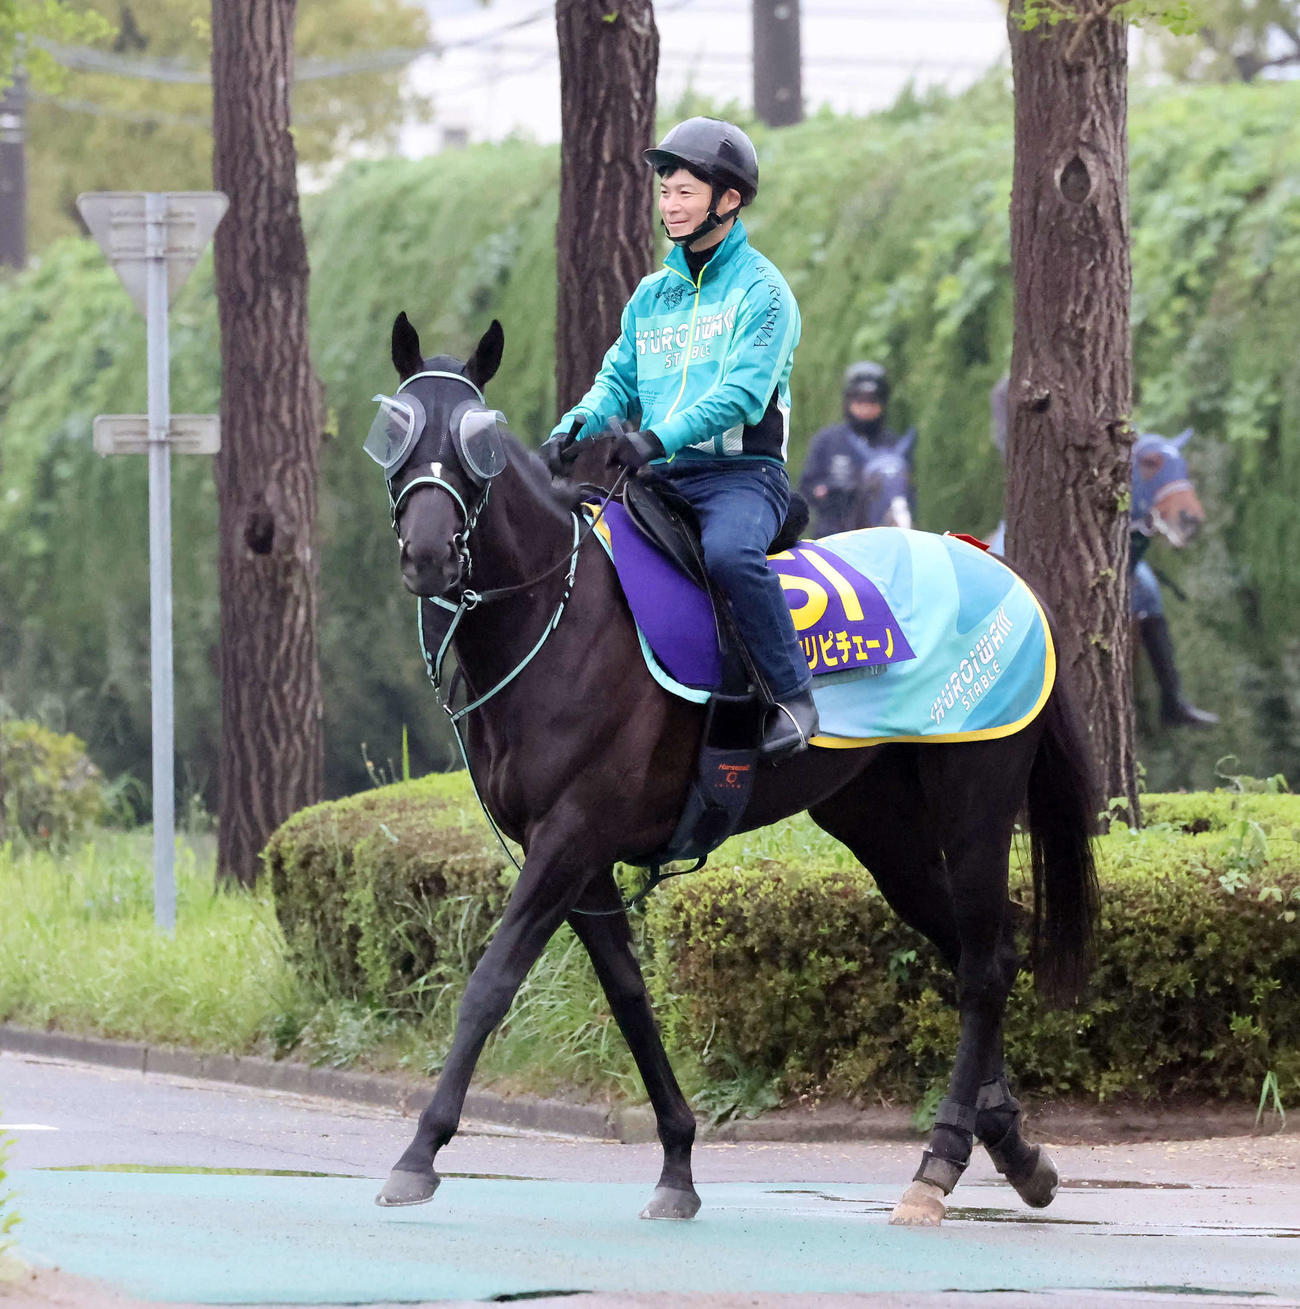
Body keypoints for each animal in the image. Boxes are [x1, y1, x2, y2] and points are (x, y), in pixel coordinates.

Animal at [364, 315, 1099, 1228]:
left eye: (478, 442)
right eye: (395, 433)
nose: (429, 553)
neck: (560, 620)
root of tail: (994, 565)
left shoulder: (569, 837)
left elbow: (491, 984)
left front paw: (419, 1149)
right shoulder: (578, 856)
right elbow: (630, 997)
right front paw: (678, 1159)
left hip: (976, 794)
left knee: (983, 963)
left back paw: (940, 1158)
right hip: (881, 824)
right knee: (973, 944)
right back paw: (1012, 1142)